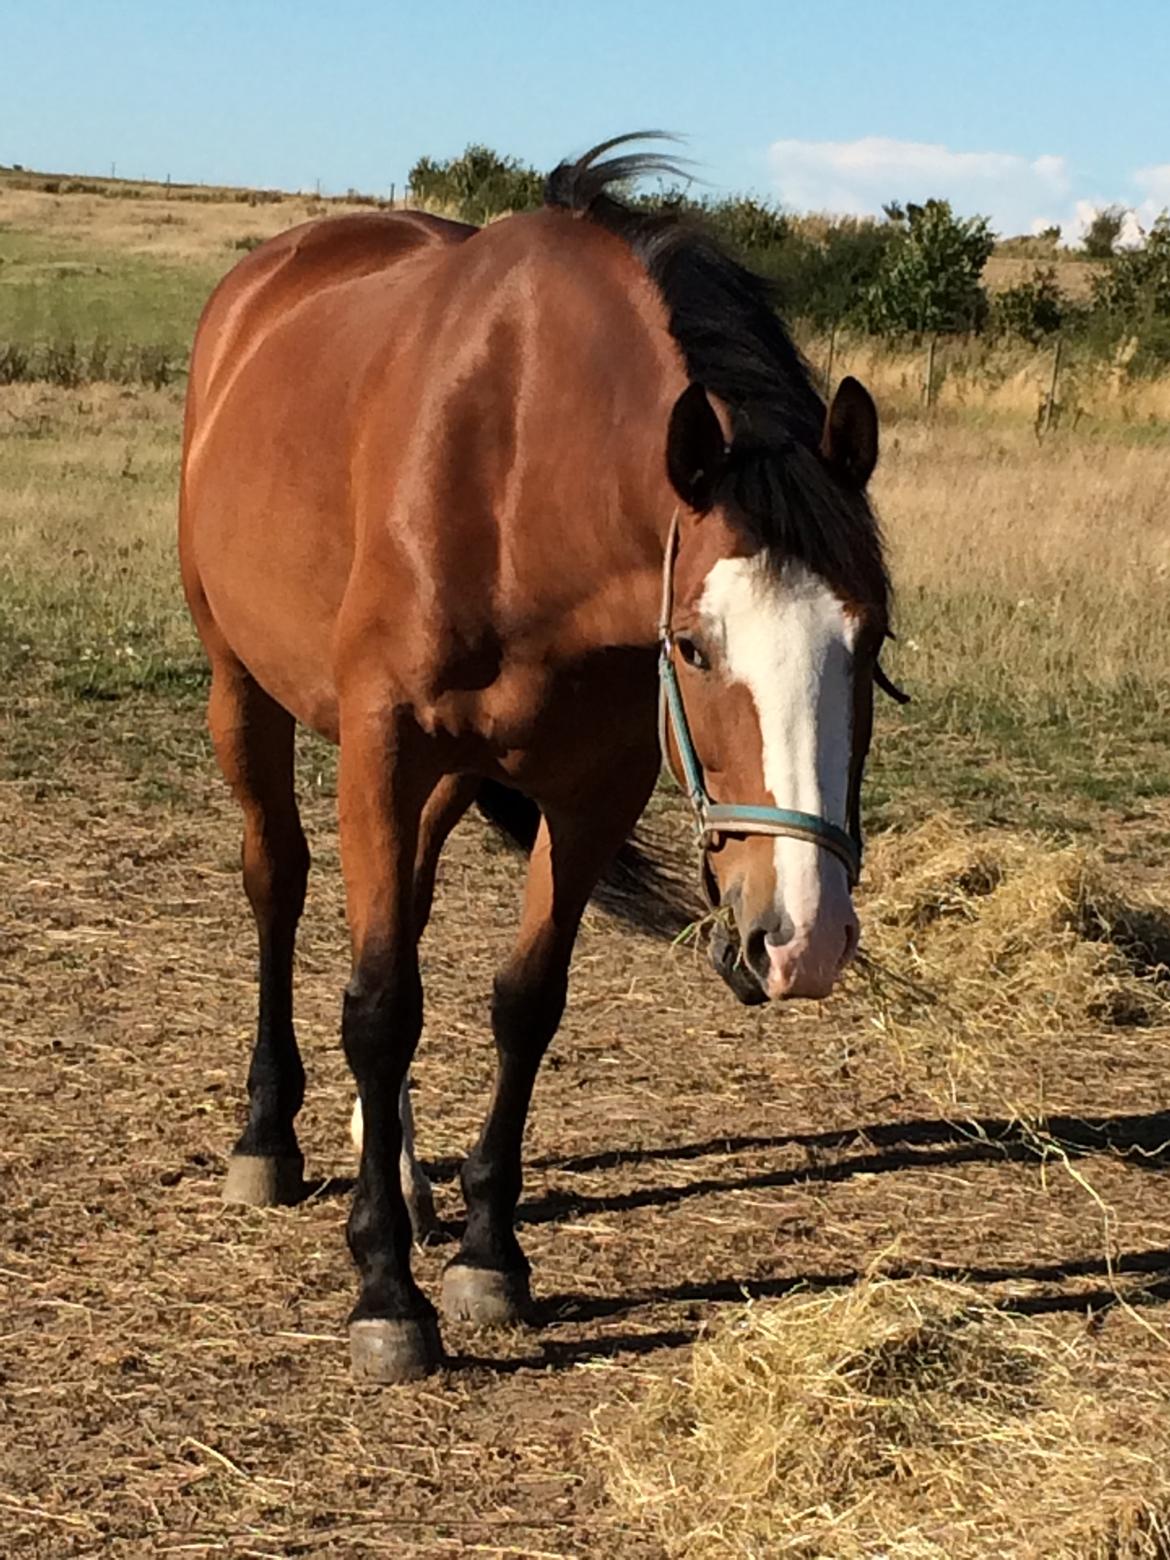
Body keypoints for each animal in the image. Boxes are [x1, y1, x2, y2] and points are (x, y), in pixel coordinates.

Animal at [178, 134, 898, 1379]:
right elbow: (380, 1006)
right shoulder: (382, 750)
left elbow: (523, 1004)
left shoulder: (589, 786)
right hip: (246, 692)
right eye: (694, 646)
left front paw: (486, 1255)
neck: (517, 468)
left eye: (874, 638)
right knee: (278, 883)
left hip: (451, 777)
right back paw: (270, 1139)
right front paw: (385, 1294)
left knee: (407, 912)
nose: (801, 938)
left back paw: (398, 1165)